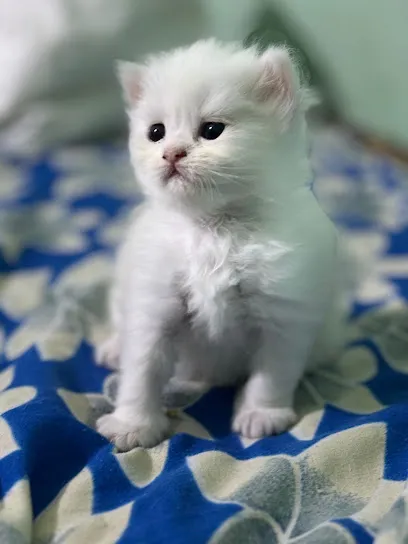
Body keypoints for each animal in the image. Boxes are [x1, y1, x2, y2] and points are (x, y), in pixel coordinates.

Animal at [96, 39, 344, 450]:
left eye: (212, 130)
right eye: (156, 132)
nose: (172, 152)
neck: (215, 228)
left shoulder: (285, 313)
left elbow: (272, 374)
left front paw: (261, 416)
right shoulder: (154, 304)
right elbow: (142, 370)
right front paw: (133, 425)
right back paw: (114, 348)